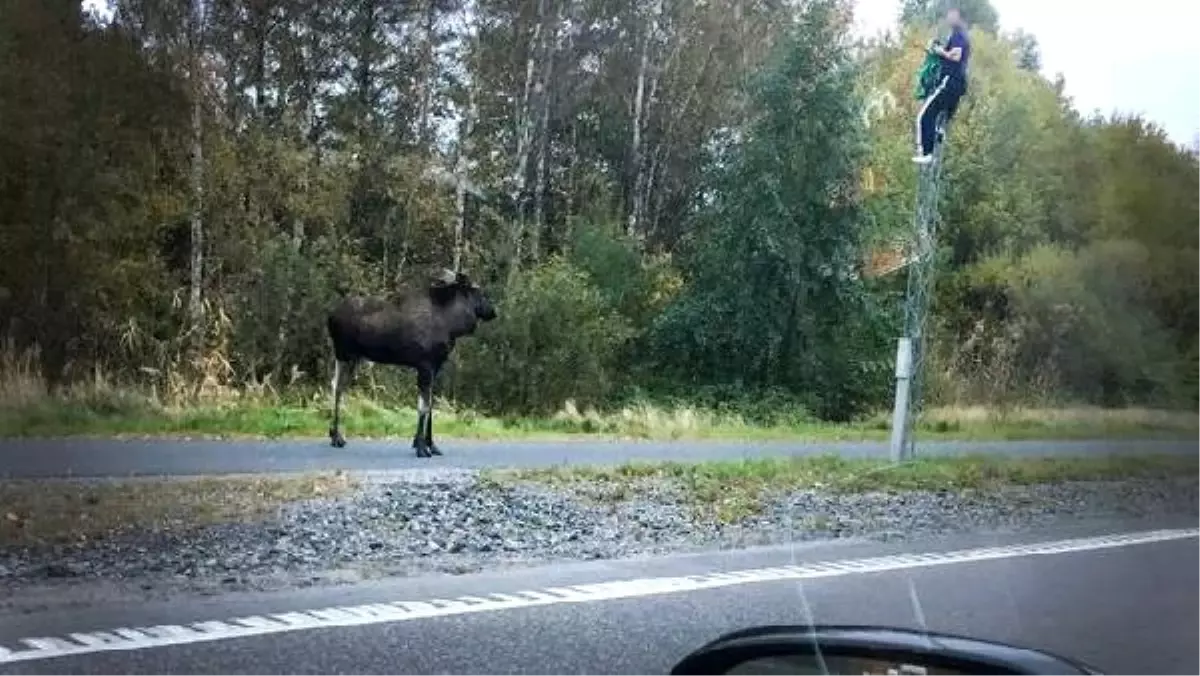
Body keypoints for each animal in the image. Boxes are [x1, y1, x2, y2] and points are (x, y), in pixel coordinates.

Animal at [324, 270, 496, 461]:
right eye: (477, 291)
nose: (493, 311)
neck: (452, 326)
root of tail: (330, 317)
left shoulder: (435, 366)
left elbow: (430, 405)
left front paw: (431, 445)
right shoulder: (425, 365)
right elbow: (424, 406)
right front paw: (421, 447)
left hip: (353, 358)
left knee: (336, 386)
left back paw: (333, 434)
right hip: (344, 354)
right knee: (338, 388)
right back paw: (337, 437)